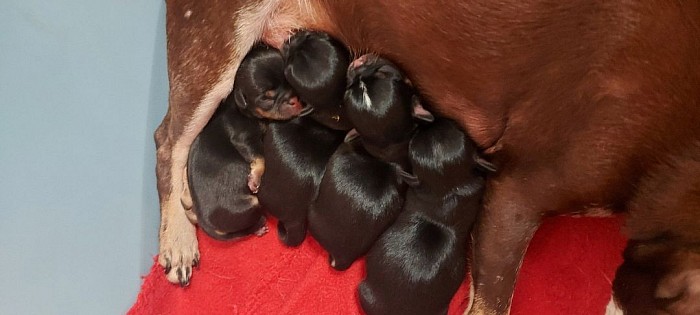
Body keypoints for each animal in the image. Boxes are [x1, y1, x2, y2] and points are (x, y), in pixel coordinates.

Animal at [186, 43, 304, 242]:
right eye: (266, 98)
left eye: (289, 79)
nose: (295, 100)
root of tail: (205, 223)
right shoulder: (244, 138)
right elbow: (260, 156)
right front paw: (255, 178)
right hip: (251, 204)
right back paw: (259, 226)